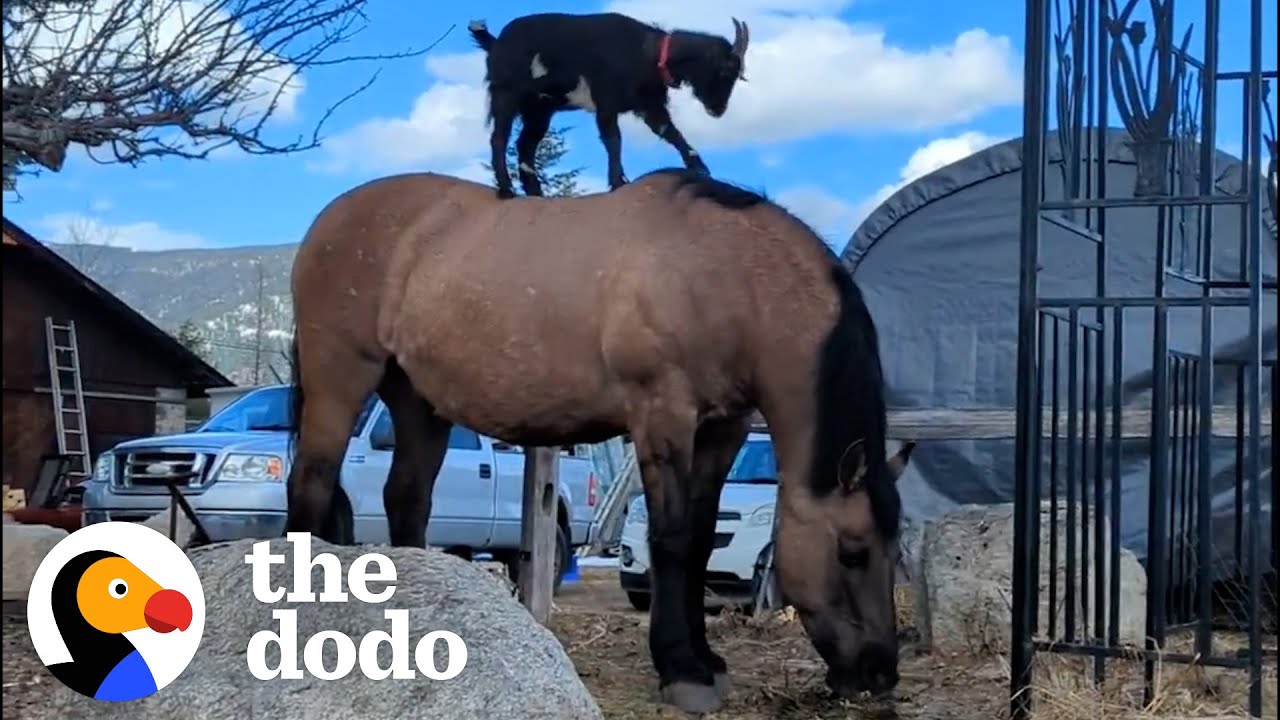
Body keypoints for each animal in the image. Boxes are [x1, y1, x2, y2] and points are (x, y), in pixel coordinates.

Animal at [285, 167, 916, 712]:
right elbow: (673, 539)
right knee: (311, 482)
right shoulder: (663, 415)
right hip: (339, 377)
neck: (725, 273)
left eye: (896, 551)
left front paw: (707, 660)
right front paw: (682, 670)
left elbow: (702, 538)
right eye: (852, 551)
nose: (880, 673)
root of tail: (329, 219)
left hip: (417, 402)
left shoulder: (723, 429)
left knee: (407, 497)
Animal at [468, 13, 747, 198]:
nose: (718, 110)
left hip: (539, 110)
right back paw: (506, 189)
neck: (646, 53)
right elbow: (614, 140)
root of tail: (495, 43)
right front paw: (618, 182)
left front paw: (700, 168)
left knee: (525, 145)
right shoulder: (606, 103)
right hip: (506, 95)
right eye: (724, 71)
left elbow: (671, 133)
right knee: (499, 138)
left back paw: (536, 193)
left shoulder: (649, 106)